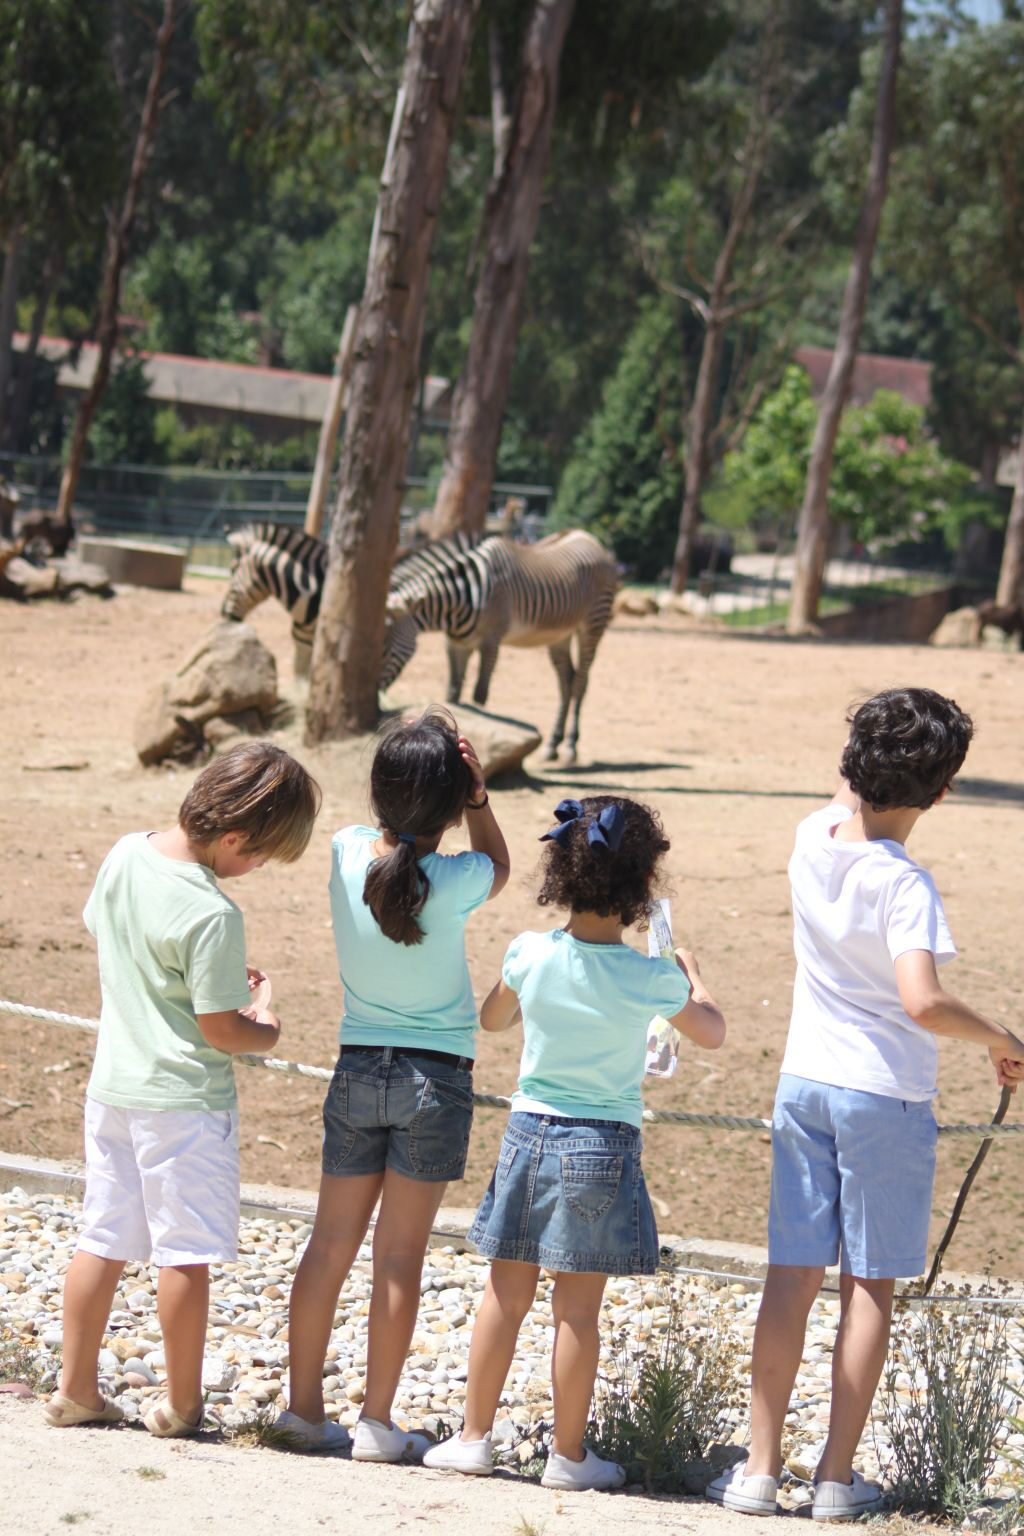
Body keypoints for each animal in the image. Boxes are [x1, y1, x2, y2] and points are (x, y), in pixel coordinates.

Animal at [380, 531, 614, 764]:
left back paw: (571, 747)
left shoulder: (490, 642)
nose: (377, 692)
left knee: (580, 682)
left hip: (593, 623)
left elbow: (479, 698)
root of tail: (589, 538)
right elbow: (453, 692)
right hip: (560, 635)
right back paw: (553, 744)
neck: (460, 599)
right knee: (566, 681)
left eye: (384, 648)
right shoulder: (456, 644)